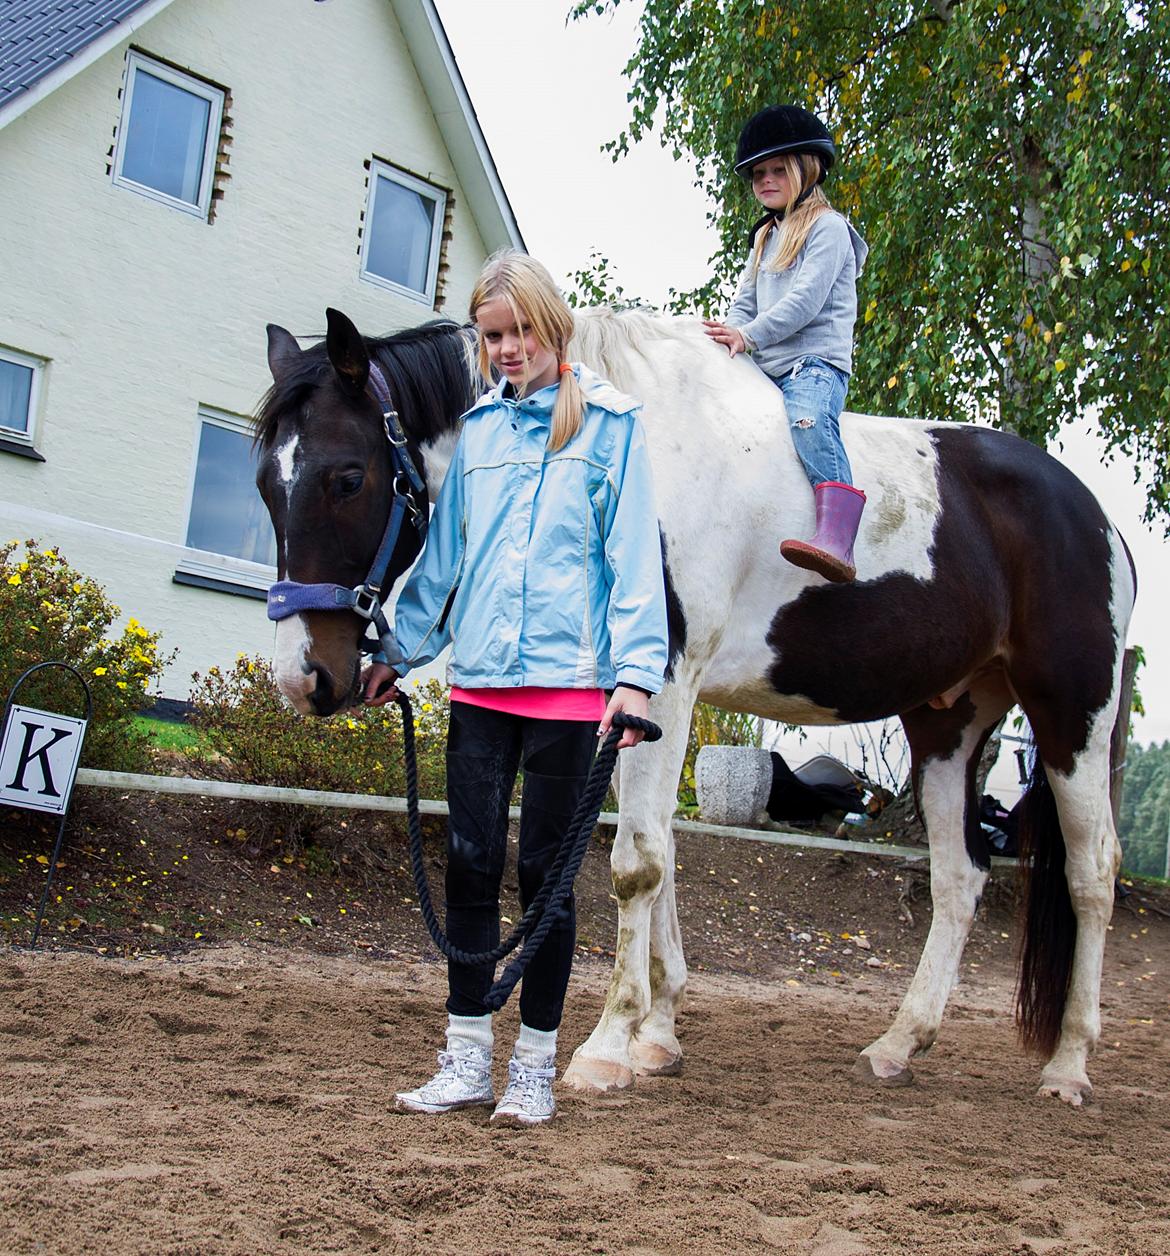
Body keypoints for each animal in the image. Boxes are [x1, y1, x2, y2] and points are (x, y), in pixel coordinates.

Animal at [258, 306, 1134, 1110]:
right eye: (267, 482)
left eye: (347, 476)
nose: (306, 677)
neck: (634, 447)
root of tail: (1100, 522)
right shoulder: (627, 705)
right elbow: (664, 856)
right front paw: (658, 1034)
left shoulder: (666, 685)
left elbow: (637, 863)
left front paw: (608, 1046)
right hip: (948, 724)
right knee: (959, 877)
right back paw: (897, 1044)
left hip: (1071, 718)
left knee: (1092, 874)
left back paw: (1068, 1066)